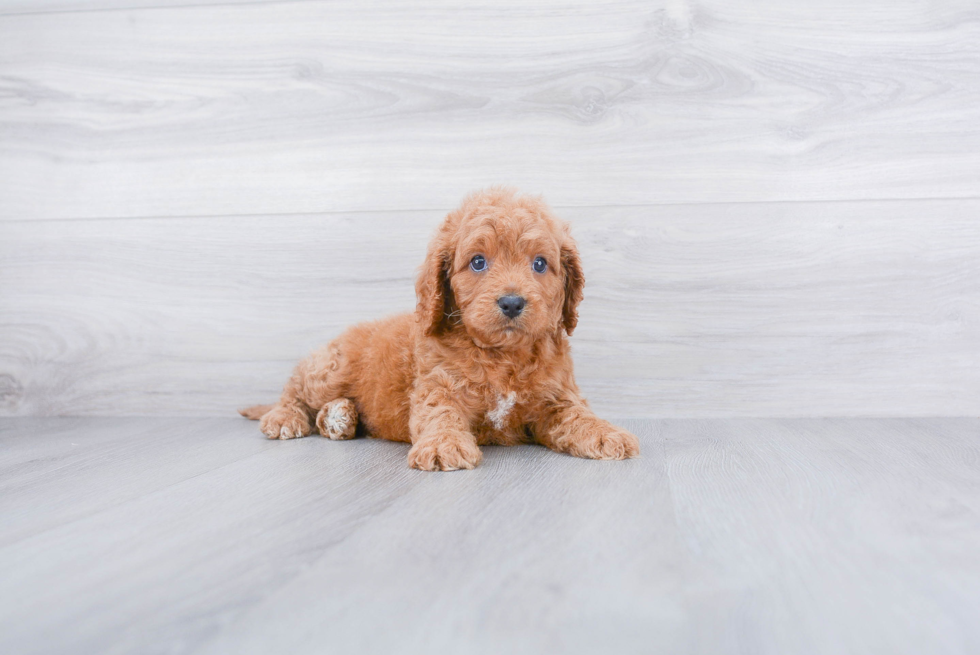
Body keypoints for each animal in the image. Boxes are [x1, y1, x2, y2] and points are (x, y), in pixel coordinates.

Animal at [241, 187, 640, 468]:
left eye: (540, 264)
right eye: (478, 262)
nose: (512, 302)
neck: (502, 355)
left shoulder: (555, 397)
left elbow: (577, 414)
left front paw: (605, 433)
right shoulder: (438, 384)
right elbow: (440, 414)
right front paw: (443, 445)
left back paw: (340, 418)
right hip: (331, 370)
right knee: (296, 388)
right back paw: (285, 417)